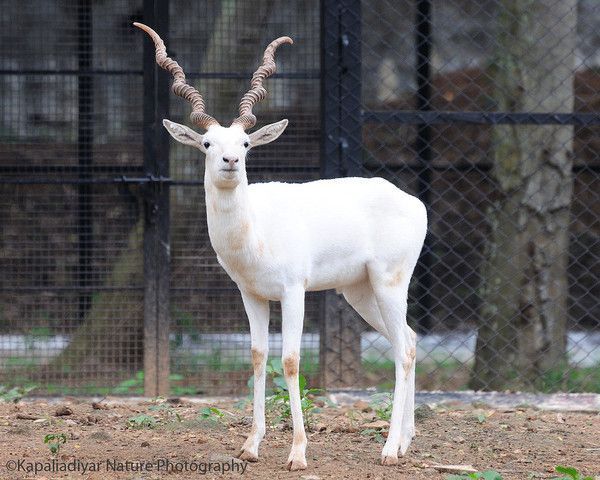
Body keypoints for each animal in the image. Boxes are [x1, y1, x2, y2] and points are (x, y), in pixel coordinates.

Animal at [135, 21, 426, 468]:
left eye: (245, 144)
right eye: (207, 144)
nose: (231, 162)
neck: (256, 229)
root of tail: (413, 202)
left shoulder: (293, 291)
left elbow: (290, 361)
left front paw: (298, 453)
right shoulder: (251, 294)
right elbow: (258, 358)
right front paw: (251, 445)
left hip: (389, 283)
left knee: (405, 351)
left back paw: (390, 449)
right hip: (359, 292)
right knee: (406, 340)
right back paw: (407, 440)